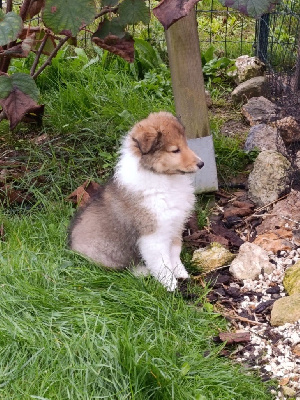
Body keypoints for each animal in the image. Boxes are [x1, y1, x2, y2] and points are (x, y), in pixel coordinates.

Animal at [68, 112, 204, 290]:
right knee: (119, 270)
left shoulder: (174, 226)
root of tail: (71, 245)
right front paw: (171, 286)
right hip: (104, 255)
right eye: (175, 150)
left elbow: (174, 252)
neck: (163, 178)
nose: (201, 163)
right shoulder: (153, 236)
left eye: (186, 144)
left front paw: (181, 273)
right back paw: (142, 271)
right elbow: (162, 263)